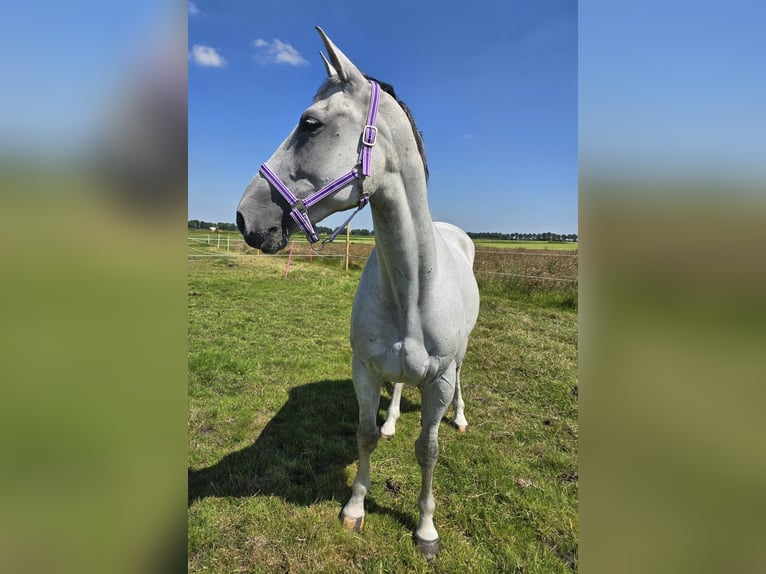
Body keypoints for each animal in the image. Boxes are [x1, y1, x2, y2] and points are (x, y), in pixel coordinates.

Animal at [237, 27, 484, 560]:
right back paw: (393, 420)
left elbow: (428, 450)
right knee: (397, 395)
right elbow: (365, 434)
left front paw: (426, 530)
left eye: (309, 124)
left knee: (460, 379)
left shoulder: (436, 382)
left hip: (457, 363)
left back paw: (460, 418)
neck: (413, 285)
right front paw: (354, 509)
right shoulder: (365, 369)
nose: (245, 218)